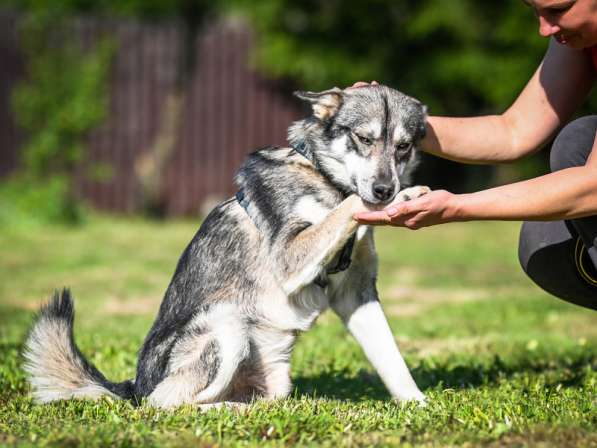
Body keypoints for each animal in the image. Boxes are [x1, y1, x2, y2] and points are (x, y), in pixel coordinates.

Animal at [24, 85, 428, 410]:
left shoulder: (356, 292)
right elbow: (348, 207)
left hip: (270, 376)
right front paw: (402, 196)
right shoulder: (291, 254)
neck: (324, 178)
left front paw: (417, 405)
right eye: (363, 138)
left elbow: (392, 359)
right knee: (167, 406)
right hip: (225, 323)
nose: (384, 189)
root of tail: (134, 386)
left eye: (403, 146)